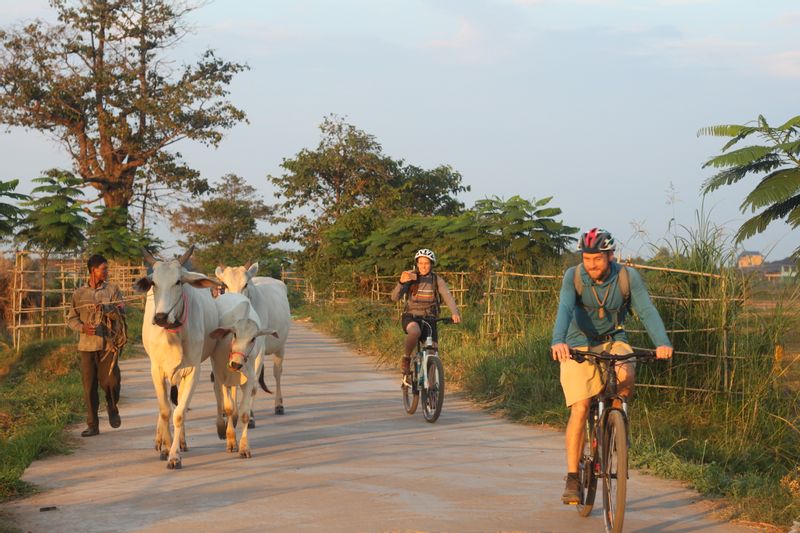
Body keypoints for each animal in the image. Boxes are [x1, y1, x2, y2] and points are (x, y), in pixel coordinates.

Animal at [133, 247, 223, 468]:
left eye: (178, 282)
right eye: (154, 283)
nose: (160, 317)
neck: (172, 335)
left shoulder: (192, 372)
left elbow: (179, 413)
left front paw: (174, 455)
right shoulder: (156, 370)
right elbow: (165, 410)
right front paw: (165, 447)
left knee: (179, 404)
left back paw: (181, 442)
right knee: (164, 407)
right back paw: (160, 441)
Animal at [209, 294, 278, 456]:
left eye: (253, 339)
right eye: (234, 334)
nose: (236, 364)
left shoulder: (250, 378)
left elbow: (244, 413)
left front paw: (244, 447)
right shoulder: (221, 376)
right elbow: (227, 407)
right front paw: (230, 439)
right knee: (220, 398)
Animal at [217, 264, 292, 414]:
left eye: (245, 284)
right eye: (224, 285)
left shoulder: (259, 349)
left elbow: (253, 387)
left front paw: (249, 414)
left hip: (280, 347)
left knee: (277, 373)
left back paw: (279, 404)